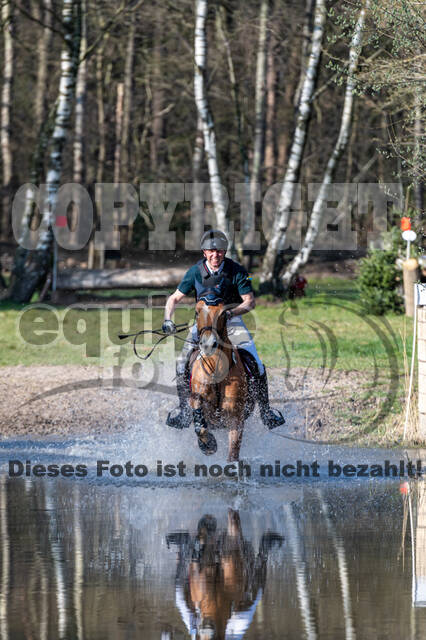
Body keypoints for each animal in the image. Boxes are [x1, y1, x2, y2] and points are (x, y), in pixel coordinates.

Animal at [189, 298, 255, 462]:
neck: (216, 368)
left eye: (223, 313)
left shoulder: (235, 415)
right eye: (197, 311)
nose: (208, 344)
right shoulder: (197, 397)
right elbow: (200, 426)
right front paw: (209, 445)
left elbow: (233, 453)